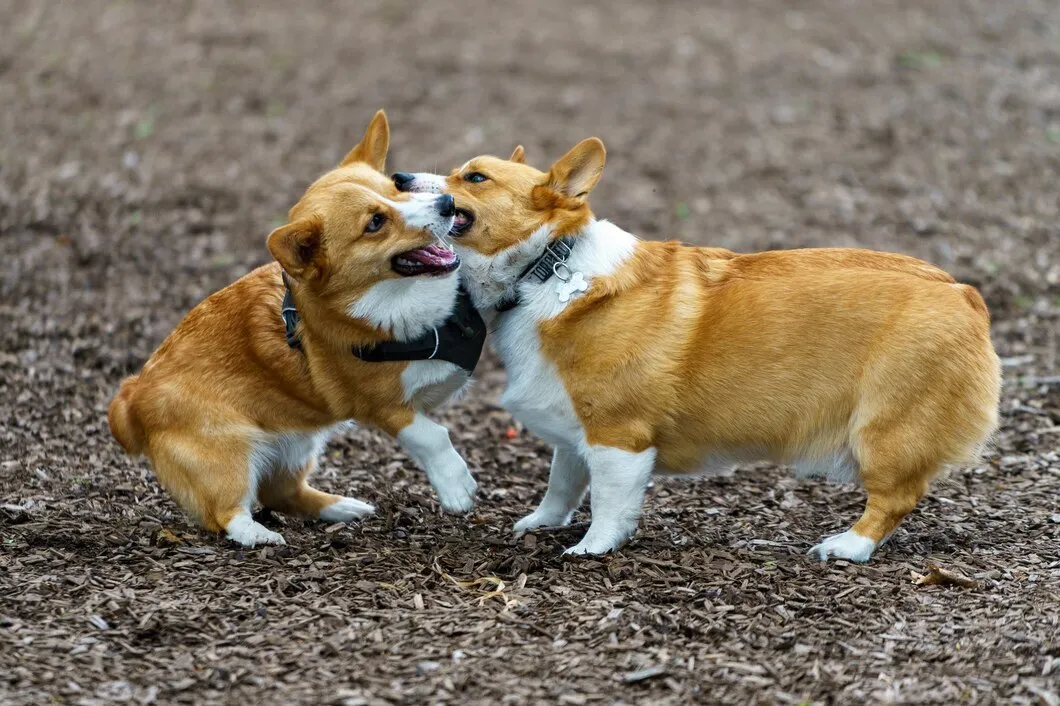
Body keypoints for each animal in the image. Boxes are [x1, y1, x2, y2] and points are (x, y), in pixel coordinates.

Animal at [106, 112, 481, 546]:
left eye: (395, 188)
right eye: (375, 222)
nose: (447, 204)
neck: (394, 300)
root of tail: (131, 396)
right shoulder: (383, 407)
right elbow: (432, 435)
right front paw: (456, 488)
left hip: (298, 444)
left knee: (282, 492)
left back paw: (341, 508)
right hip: (230, 453)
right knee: (227, 512)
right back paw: (260, 536)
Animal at [396, 137, 1000, 559]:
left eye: (474, 176)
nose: (398, 176)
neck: (545, 267)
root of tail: (964, 293)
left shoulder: (618, 435)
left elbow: (609, 502)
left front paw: (590, 548)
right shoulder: (574, 425)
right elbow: (562, 482)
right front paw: (541, 523)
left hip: (883, 429)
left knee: (895, 497)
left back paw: (847, 547)